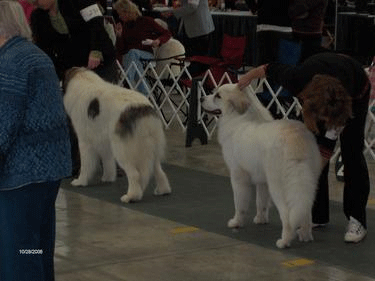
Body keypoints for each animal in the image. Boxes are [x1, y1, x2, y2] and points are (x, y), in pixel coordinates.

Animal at [63, 68, 172, 203]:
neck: (84, 79)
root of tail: (142, 109)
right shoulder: (104, 142)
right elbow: (107, 161)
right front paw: (108, 178)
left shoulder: (84, 141)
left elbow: (86, 164)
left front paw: (80, 181)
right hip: (152, 146)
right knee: (158, 170)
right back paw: (163, 190)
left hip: (123, 149)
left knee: (135, 174)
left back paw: (131, 196)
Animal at [201, 83, 322, 247]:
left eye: (218, 96)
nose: (201, 98)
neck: (238, 118)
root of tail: (296, 138)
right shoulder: (262, 181)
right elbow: (261, 202)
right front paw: (261, 219)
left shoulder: (238, 176)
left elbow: (240, 203)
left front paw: (236, 222)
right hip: (307, 181)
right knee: (306, 210)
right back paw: (305, 235)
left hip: (278, 186)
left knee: (287, 215)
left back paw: (284, 241)